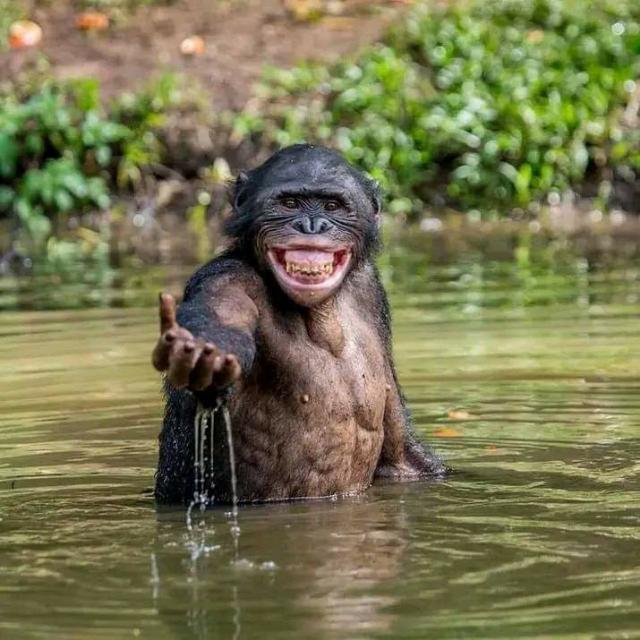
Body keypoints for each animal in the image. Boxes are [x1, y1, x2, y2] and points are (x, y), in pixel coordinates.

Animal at [152, 144, 447, 504]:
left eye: (332, 206)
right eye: (289, 204)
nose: (312, 225)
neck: (320, 312)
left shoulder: (371, 290)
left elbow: (400, 454)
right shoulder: (225, 282)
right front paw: (200, 356)